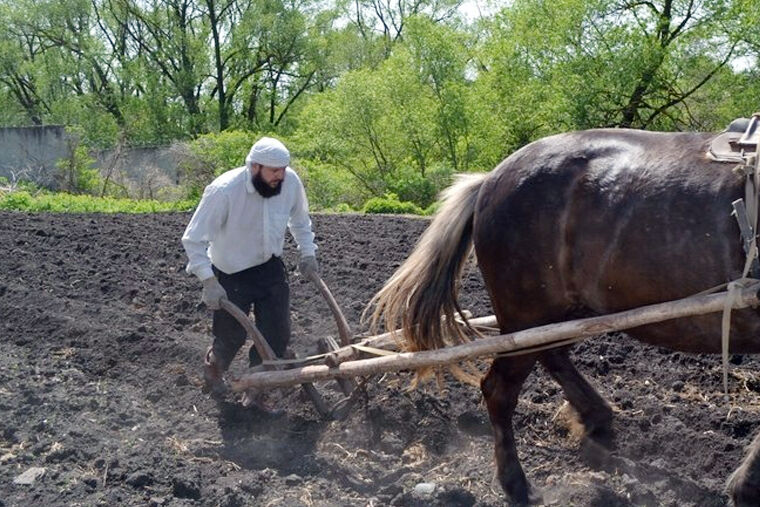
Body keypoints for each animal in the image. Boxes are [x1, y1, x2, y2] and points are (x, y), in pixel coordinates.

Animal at [372, 127, 760, 504]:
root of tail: (491, 179)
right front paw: (744, 487)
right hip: (526, 311)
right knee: (499, 389)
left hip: (561, 311)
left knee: (552, 355)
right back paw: (517, 484)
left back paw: (597, 422)